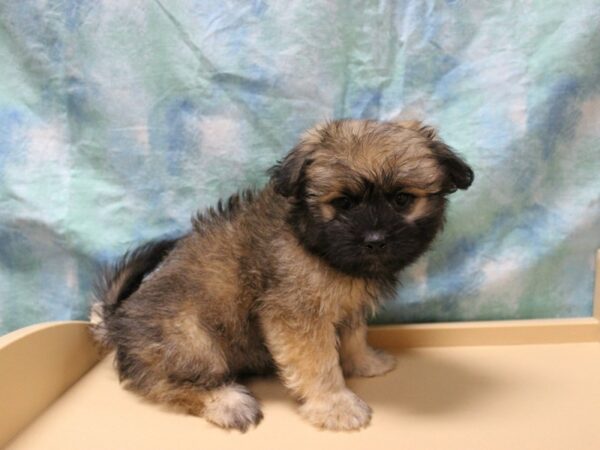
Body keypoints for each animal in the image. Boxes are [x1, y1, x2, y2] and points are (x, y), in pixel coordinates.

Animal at [89, 119, 474, 432]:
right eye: (344, 203)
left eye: (402, 200)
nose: (375, 240)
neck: (312, 242)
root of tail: (117, 321)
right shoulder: (297, 318)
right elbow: (319, 364)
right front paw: (335, 405)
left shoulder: (347, 308)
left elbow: (353, 337)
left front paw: (365, 362)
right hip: (191, 339)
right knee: (164, 384)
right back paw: (227, 402)